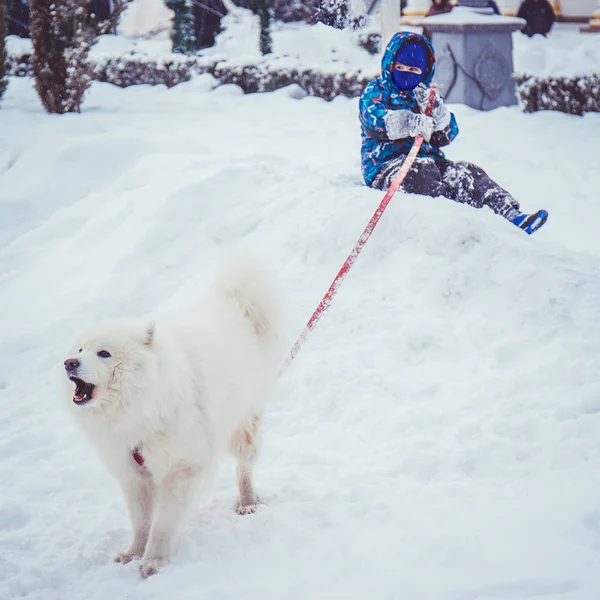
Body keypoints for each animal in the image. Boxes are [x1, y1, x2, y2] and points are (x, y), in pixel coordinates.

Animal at [62, 253, 284, 576]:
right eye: (80, 349)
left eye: (104, 353)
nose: (68, 363)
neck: (142, 407)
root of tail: (234, 304)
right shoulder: (133, 475)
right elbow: (141, 522)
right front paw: (132, 554)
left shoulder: (180, 469)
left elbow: (163, 523)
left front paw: (153, 561)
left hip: (244, 419)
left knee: (244, 465)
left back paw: (247, 503)